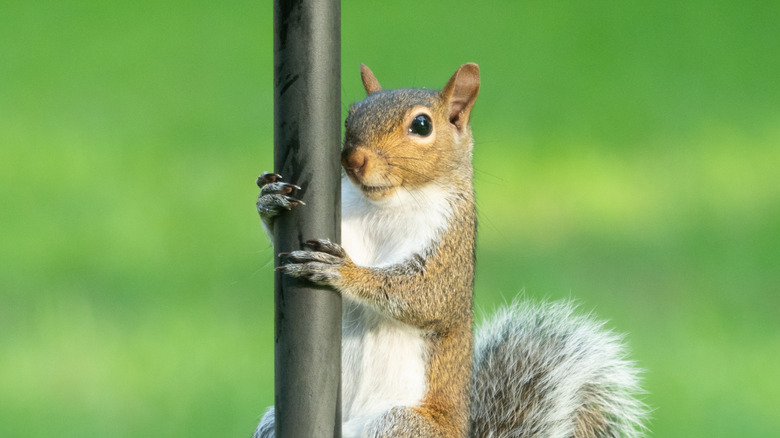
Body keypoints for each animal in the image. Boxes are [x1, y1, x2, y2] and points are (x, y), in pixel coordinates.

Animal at [254, 63, 647, 438]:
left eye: (422, 125)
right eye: (350, 116)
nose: (353, 160)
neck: (386, 202)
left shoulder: (450, 244)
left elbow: (427, 295)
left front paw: (344, 271)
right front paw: (268, 199)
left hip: (399, 424)